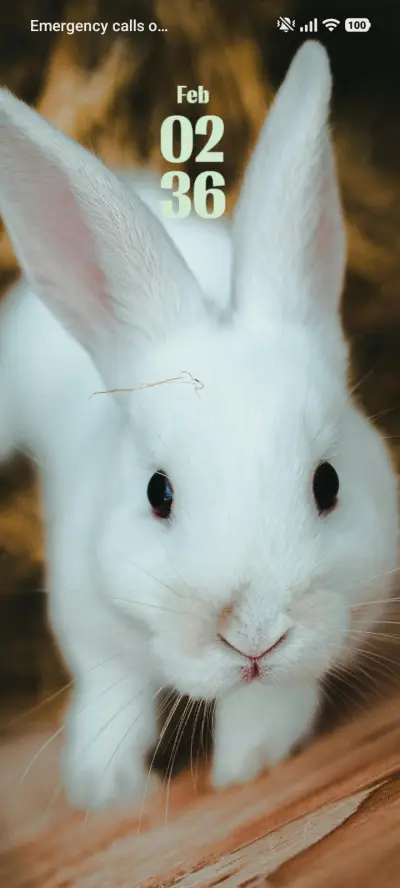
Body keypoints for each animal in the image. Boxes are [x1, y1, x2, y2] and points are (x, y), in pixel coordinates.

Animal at [0, 39, 398, 810]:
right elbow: (112, 694)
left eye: (328, 484)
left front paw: (245, 763)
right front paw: (106, 788)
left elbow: (274, 703)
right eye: (159, 494)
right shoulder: (90, 625)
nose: (254, 636)